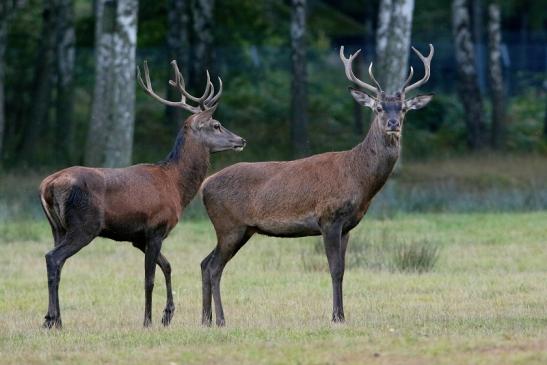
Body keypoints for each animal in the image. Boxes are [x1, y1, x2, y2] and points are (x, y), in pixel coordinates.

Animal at [41, 59, 247, 328]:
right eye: (216, 125)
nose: (241, 140)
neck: (176, 186)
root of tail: (48, 185)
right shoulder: (155, 227)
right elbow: (149, 279)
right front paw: (148, 320)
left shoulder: (138, 237)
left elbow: (167, 266)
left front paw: (168, 314)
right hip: (84, 225)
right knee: (53, 258)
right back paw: (53, 320)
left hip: (57, 227)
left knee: (58, 263)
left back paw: (52, 318)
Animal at [201, 44, 436, 326]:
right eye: (379, 108)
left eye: (403, 109)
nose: (393, 124)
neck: (358, 178)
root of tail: (204, 185)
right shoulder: (328, 218)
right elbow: (335, 269)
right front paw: (337, 317)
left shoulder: (347, 226)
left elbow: (343, 269)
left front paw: (341, 314)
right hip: (229, 225)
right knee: (214, 267)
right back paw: (221, 320)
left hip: (239, 229)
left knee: (204, 263)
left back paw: (205, 319)